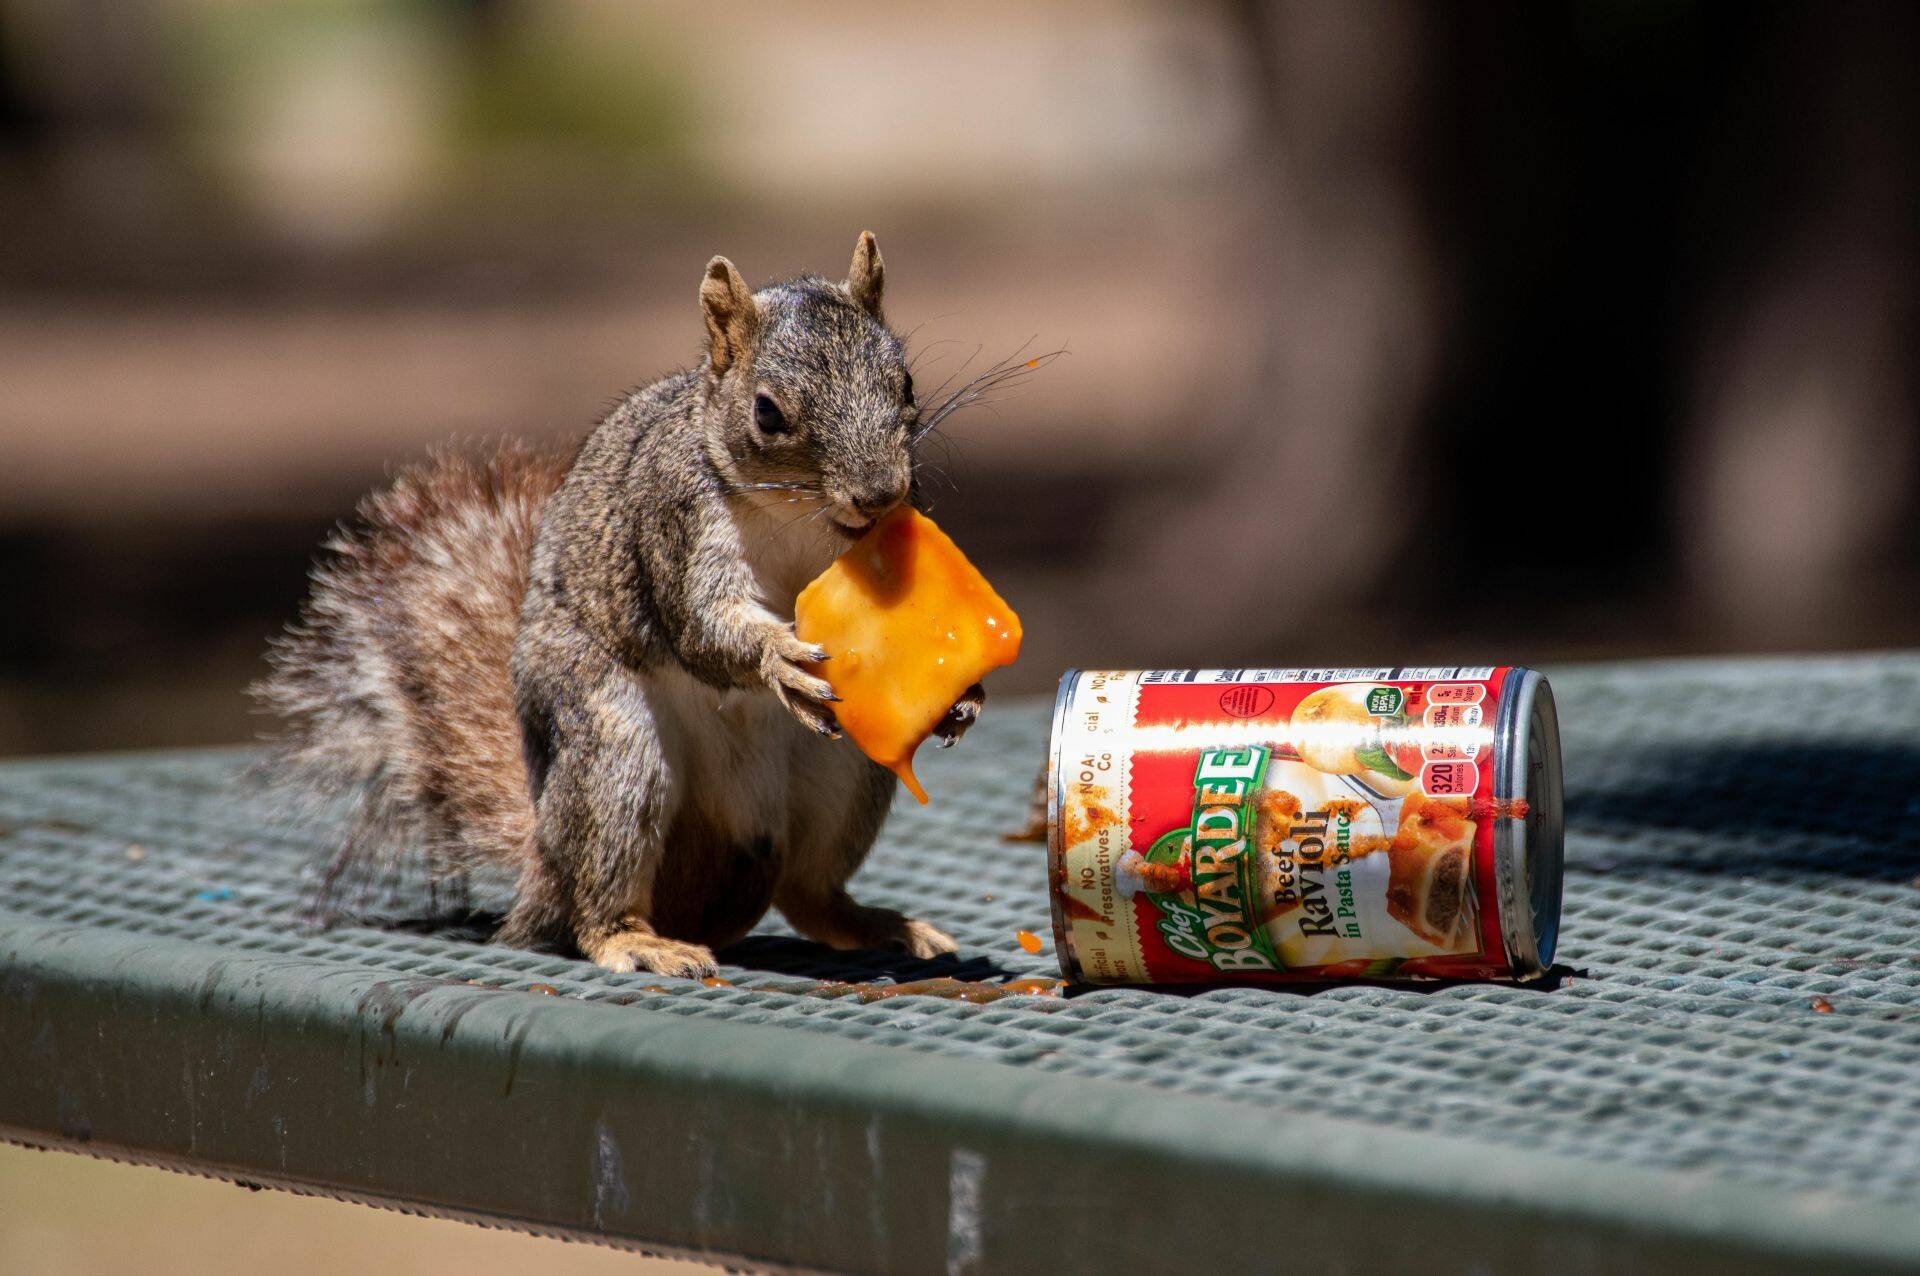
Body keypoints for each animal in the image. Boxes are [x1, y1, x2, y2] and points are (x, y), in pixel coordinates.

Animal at [255, 234, 983, 974]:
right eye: (767, 412)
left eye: (907, 384)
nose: (879, 494)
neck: (796, 514)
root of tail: (542, 860)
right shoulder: (674, 522)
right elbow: (703, 627)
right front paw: (776, 657)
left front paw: (963, 696)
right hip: (615, 756)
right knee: (595, 907)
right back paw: (636, 940)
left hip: (850, 769)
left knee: (808, 894)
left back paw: (880, 926)